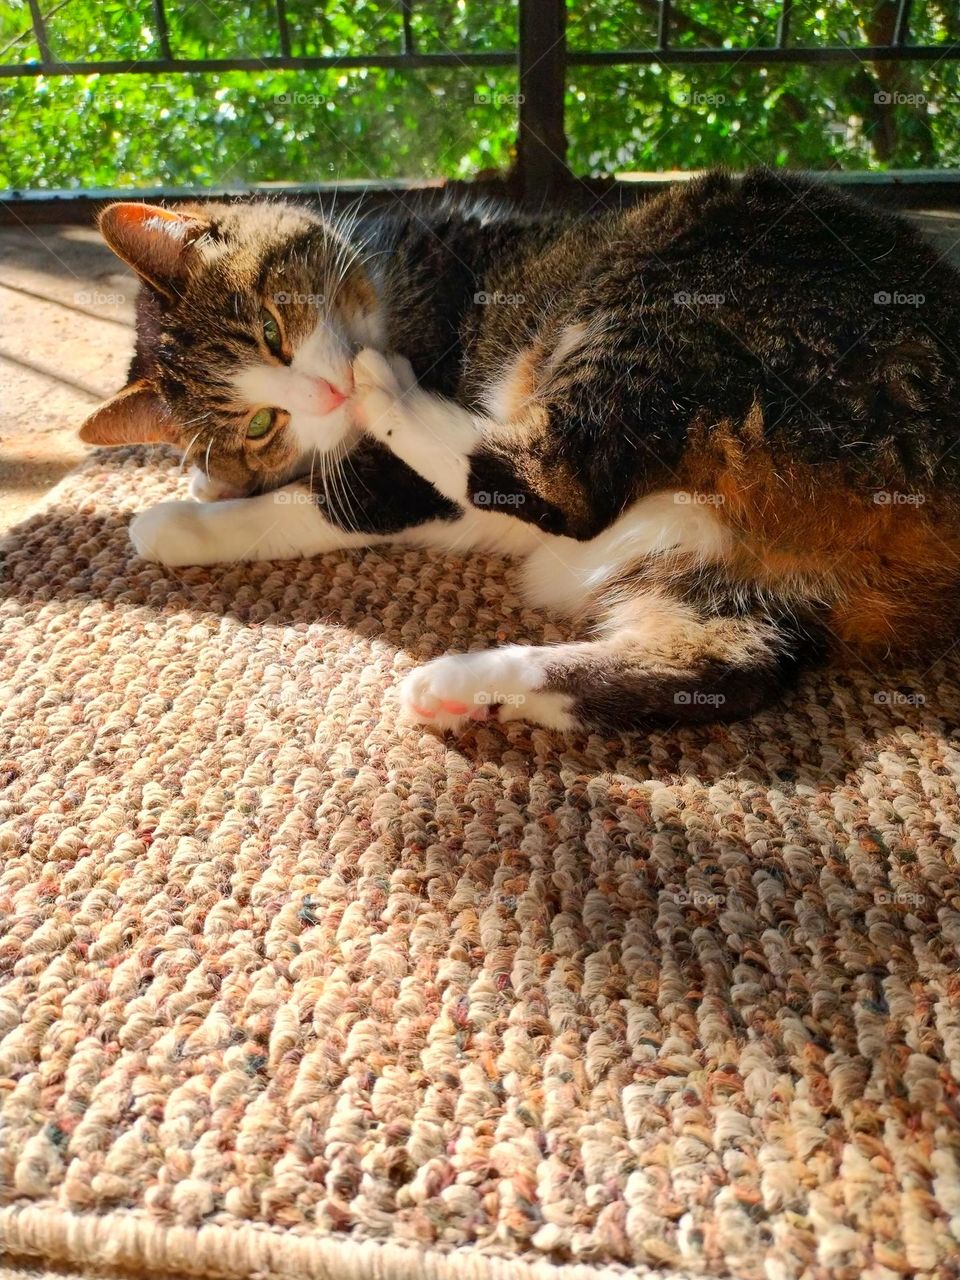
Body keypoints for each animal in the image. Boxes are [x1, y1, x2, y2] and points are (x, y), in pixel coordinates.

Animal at [79, 170, 960, 732]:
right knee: (719, 669)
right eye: (260, 423)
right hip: (735, 581)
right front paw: (207, 480)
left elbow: (326, 501)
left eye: (270, 324)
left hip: (678, 281)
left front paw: (173, 521)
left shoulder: (395, 483)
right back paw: (462, 687)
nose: (325, 395)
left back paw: (386, 391)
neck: (396, 283)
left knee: (556, 481)